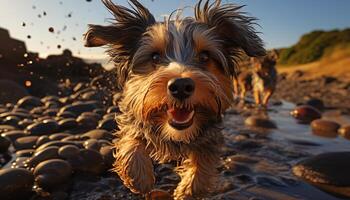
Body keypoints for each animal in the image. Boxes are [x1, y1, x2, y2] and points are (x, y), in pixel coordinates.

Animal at [85, 0, 264, 198]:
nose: (181, 86)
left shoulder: (210, 134)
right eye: (155, 56)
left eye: (205, 56)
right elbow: (130, 140)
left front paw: (187, 190)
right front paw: (139, 178)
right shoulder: (133, 116)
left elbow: (204, 163)